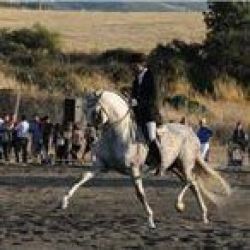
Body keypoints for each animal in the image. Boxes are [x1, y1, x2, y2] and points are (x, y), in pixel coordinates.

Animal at [62, 90, 230, 229]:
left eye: (95, 111)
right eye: (83, 110)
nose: (90, 137)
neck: (117, 134)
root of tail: (191, 132)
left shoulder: (134, 169)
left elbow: (140, 194)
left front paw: (150, 220)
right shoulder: (101, 166)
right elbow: (82, 177)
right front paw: (64, 202)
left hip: (185, 163)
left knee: (191, 181)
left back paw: (180, 205)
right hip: (173, 166)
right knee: (192, 184)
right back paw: (203, 215)